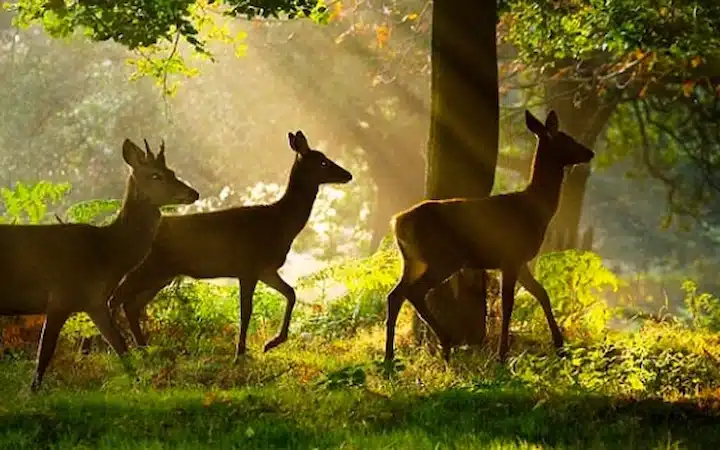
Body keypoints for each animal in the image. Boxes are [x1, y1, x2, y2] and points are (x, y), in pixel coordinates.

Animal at [0, 139, 198, 388]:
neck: (106, 255)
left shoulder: (95, 301)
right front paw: (32, 391)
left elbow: (120, 346)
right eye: (156, 175)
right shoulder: (60, 297)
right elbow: (44, 353)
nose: (193, 193)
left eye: (171, 171)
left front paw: (140, 384)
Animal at [108, 130, 352, 358]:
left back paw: (144, 349)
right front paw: (241, 353)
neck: (280, 222)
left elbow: (291, 293)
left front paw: (272, 343)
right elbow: (246, 310)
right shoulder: (248, 267)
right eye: (323, 162)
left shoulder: (266, 269)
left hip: (161, 276)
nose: (348, 174)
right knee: (116, 300)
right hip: (145, 269)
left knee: (131, 305)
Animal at [388, 110, 596, 364]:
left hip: (413, 260)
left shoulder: (520, 260)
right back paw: (446, 344)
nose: (590, 152)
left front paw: (560, 345)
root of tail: (398, 222)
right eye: (565, 138)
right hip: (442, 257)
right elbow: (508, 304)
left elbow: (542, 293)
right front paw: (502, 354)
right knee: (414, 292)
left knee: (395, 295)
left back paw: (390, 357)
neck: (536, 209)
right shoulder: (510, 256)